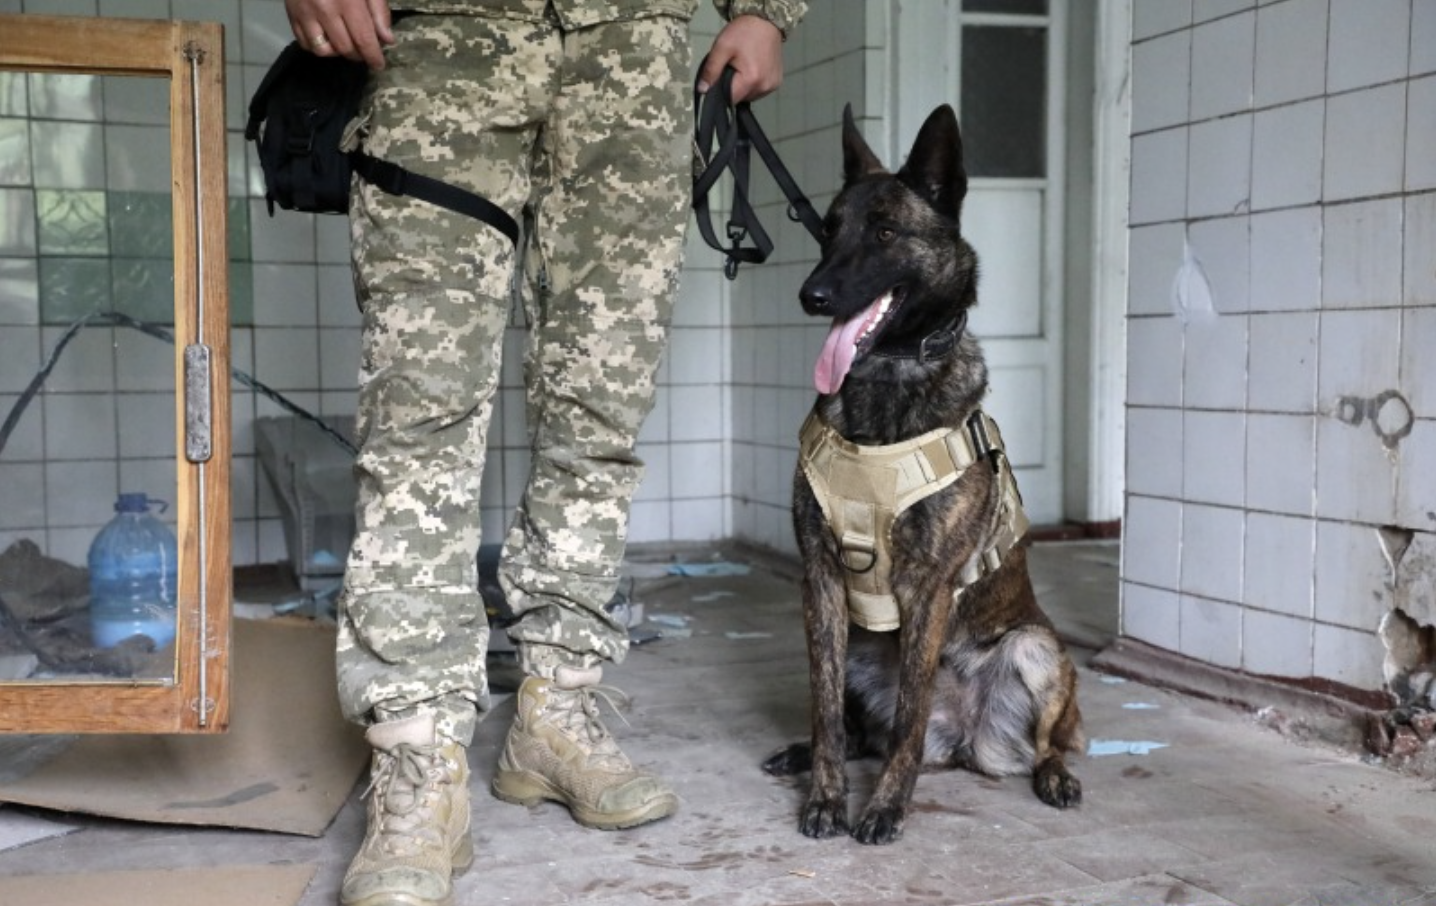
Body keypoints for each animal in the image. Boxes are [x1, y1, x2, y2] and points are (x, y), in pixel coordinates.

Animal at [763, 102, 1079, 850]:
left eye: (884, 232)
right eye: (829, 229)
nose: (812, 294)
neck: (886, 380)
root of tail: (962, 740)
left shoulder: (929, 588)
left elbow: (908, 711)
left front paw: (883, 807)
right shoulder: (820, 580)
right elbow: (824, 708)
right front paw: (826, 797)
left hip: (1038, 647)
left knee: (1048, 740)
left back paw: (1055, 777)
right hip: (859, 646)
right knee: (858, 729)